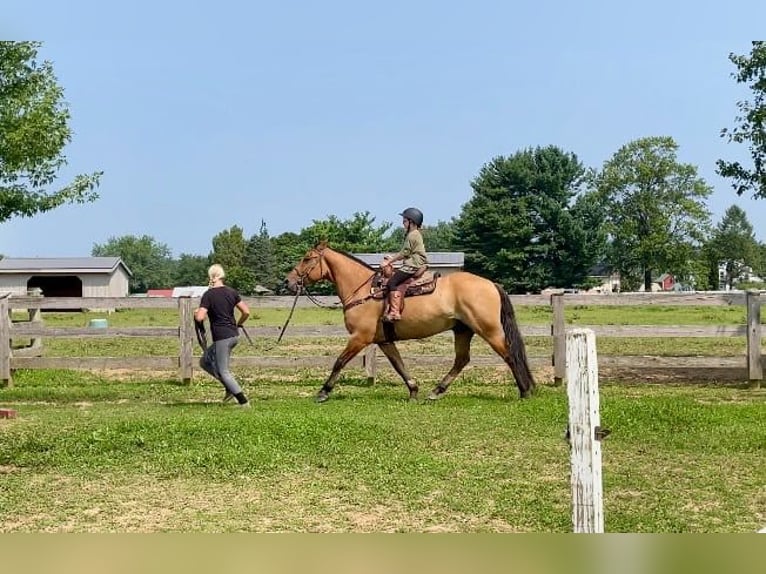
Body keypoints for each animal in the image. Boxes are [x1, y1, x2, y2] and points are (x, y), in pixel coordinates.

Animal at [284, 242, 536, 404]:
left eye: (307, 258)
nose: (288, 281)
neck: (364, 291)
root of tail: (492, 284)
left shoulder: (360, 338)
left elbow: (339, 362)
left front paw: (323, 392)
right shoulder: (384, 341)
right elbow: (399, 365)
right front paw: (414, 390)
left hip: (488, 330)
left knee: (509, 355)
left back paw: (525, 391)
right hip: (463, 330)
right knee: (462, 360)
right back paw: (436, 392)